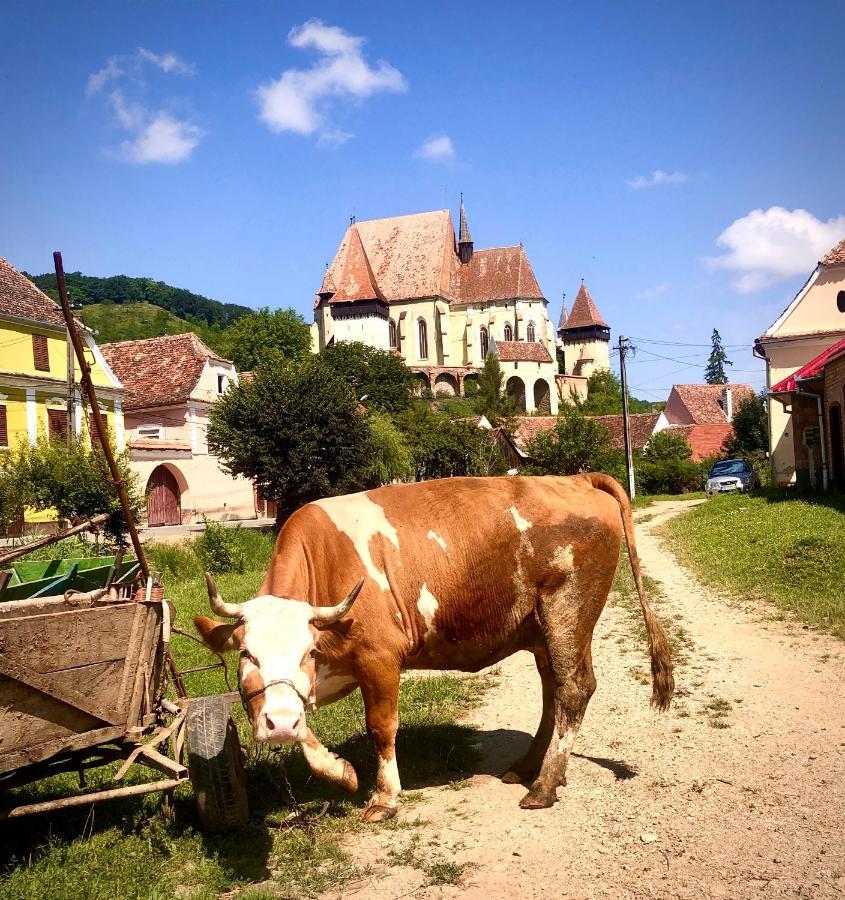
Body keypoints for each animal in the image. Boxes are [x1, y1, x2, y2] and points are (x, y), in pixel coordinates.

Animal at [193, 474, 672, 820]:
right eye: (246, 655)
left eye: (306, 653)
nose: (276, 724)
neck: (326, 561)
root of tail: (575, 478)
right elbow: (303, 731)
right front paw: (342, 773)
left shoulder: (379, 657)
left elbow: (381, 728)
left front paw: (385, 798)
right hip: (544, 631)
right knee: (554, 692)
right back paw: (528, 767)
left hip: (567, 612)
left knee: (573, 690)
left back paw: (545, 784)